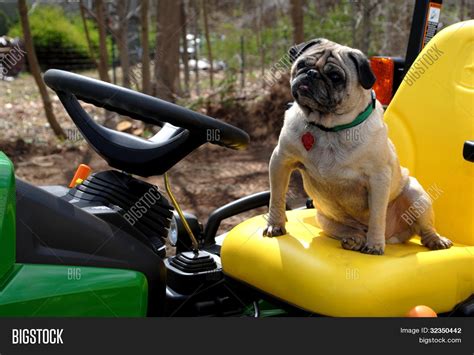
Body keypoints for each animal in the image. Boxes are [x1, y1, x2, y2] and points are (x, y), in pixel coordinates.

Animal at [262, 39, 452, 256]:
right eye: (301, 64)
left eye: (335, 77)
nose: (311, 73)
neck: (329, 128)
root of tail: (393, 237)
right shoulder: (281, 161)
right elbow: (277, 197)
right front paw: (275, 225)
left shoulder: (378, 178)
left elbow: (377, 216)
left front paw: (375, 245)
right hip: (326, 220)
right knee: (352, 231)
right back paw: (354, 240)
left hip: (417, 197)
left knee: (424, 228)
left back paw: (435, 240)